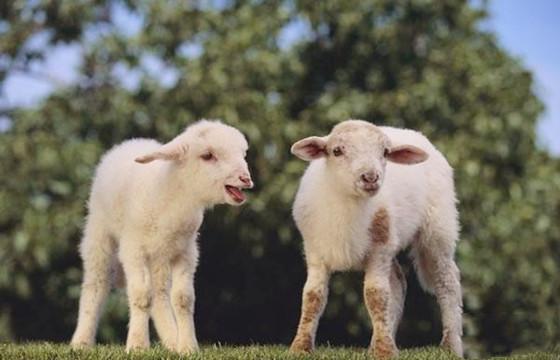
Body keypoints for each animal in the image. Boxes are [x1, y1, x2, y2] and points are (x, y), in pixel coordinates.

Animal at [70, 120, 254, 352]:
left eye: (243, 154)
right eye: (207, 156)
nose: (246, 179)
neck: (171, 195)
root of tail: (131, 142)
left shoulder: (186, 252)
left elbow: (183, 298)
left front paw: (188, 347)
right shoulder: (133, 250)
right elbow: (141, 295)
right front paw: (137, 345)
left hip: (159, 255)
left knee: (159, 293)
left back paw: (171, 340)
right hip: (100, 233)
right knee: (96, 284)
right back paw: (81, 341)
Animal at [288, 120, 464, 358]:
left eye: (385, 153)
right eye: (337, 151)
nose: (370, 177)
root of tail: (416, 134)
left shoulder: (379, 250)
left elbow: (376, 296)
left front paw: (384, 351)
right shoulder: (315, 251)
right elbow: (312, 297)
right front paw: (300, 347)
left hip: (438, 228)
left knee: (447, 283)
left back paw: (451, 346)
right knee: (398, 282)